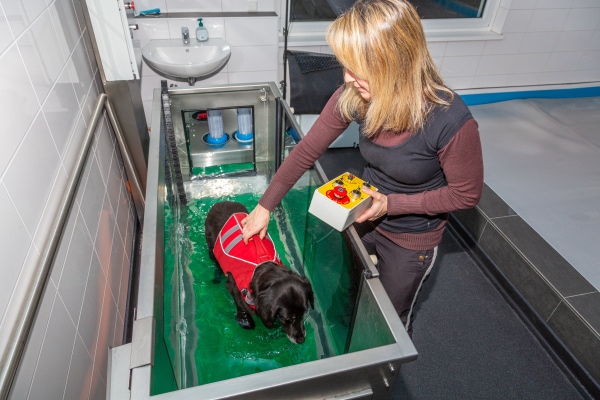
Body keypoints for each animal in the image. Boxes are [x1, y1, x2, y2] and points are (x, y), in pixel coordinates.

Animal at [205, 200, 314, 344]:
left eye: (304, 313)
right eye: (287, 318)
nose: (301, 340)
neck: (264, 271)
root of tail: (222, 202)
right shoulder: (233, 287)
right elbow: (241, 306)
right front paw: (245, 321)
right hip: (212, 249)